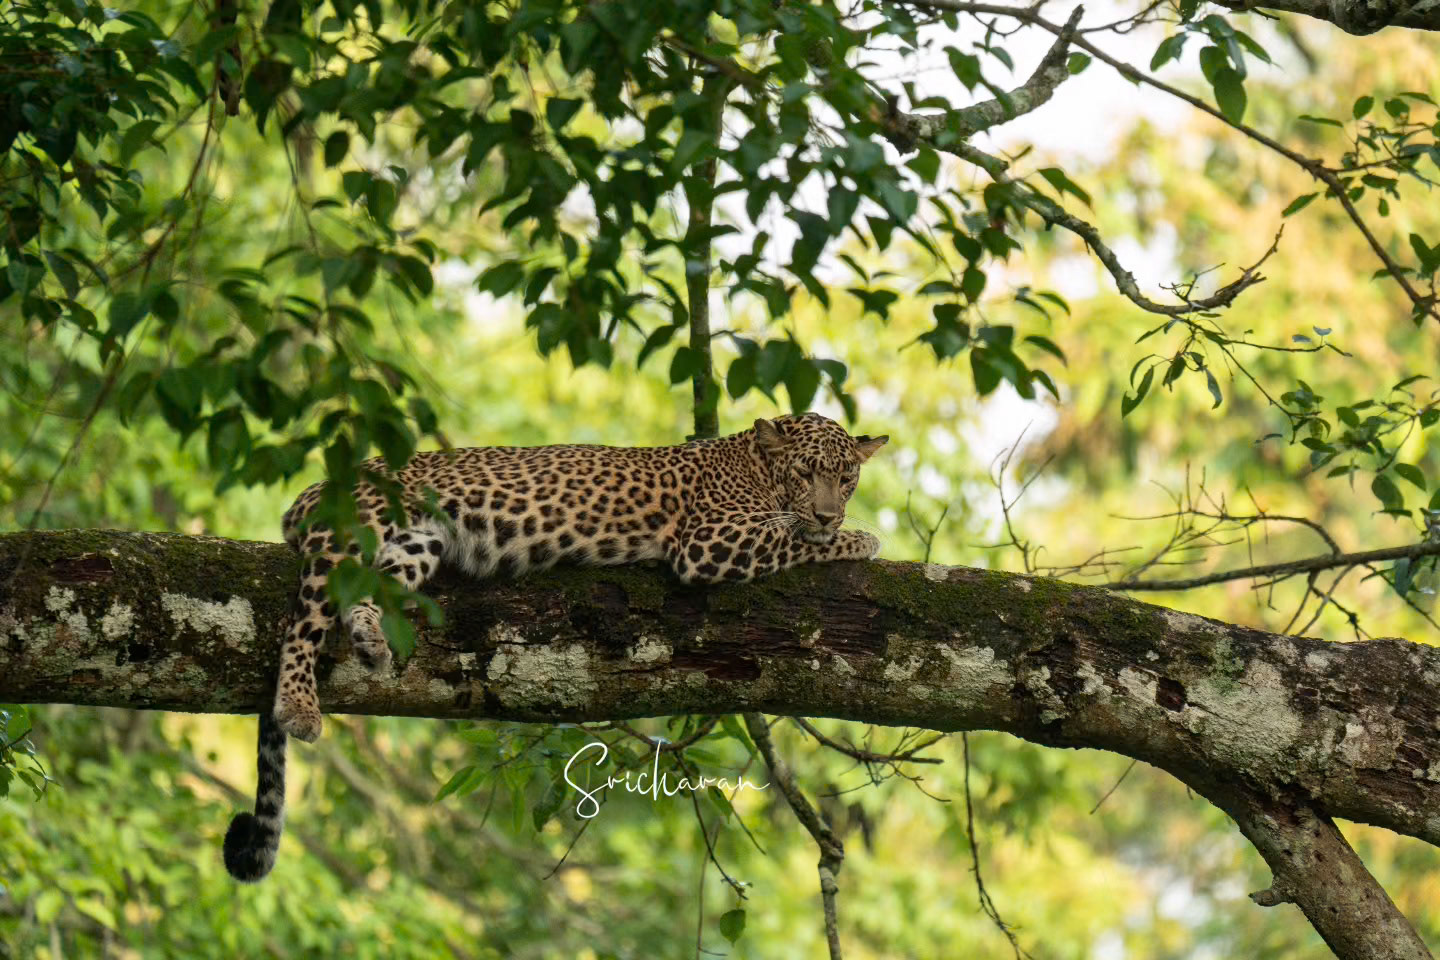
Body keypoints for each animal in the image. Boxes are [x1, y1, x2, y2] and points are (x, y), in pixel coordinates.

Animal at [223, 413, 887, 882]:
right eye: (806, 472)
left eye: (846, 475)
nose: (829, 512)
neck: (754, 463)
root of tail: (308, 495)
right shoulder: (708, 542)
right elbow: (788, 535)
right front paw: (857, 538)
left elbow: (791, 532)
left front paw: (846, 530)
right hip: (352, 533)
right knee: (302, 621)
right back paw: (299, 703)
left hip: (418, 543)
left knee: (368, 591)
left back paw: (368, 634)